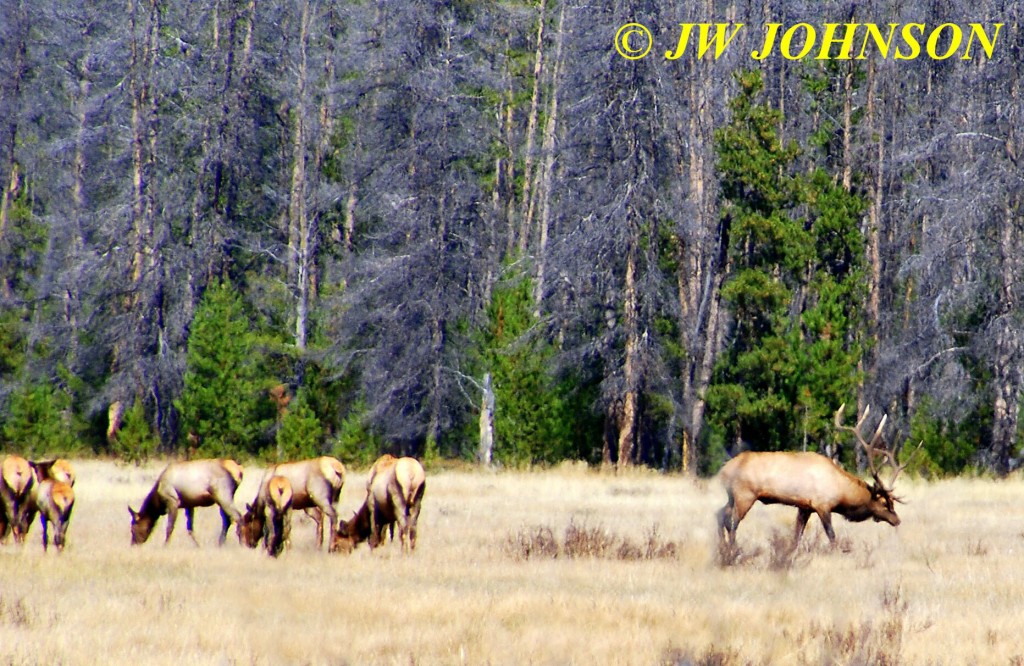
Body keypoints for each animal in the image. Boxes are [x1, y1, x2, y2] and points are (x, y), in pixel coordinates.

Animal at [716, 401, 917, 549]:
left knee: (720, 514)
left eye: (892, 503)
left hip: (733, 496)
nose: (897, 520)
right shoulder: (822, 505)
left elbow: (796, 536)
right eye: (884, 503)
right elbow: (831, 535)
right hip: (744, 495)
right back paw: (733, 551)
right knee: (732, 522)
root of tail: (723, 470)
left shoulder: (805, 507)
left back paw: (723, 549)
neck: (842, 493)